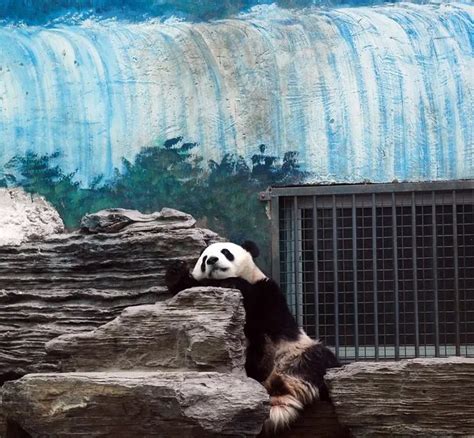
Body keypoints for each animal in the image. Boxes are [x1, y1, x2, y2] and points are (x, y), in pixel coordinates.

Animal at [165, 241, 338, 432]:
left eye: (226, 252)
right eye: (204, 259)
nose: (212, 260)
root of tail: (280, 388)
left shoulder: (268, 291)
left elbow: (264, 310)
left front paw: (232, 283)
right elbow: (187, 288)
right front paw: (176, 271)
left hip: (298, 351)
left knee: (323, 359)